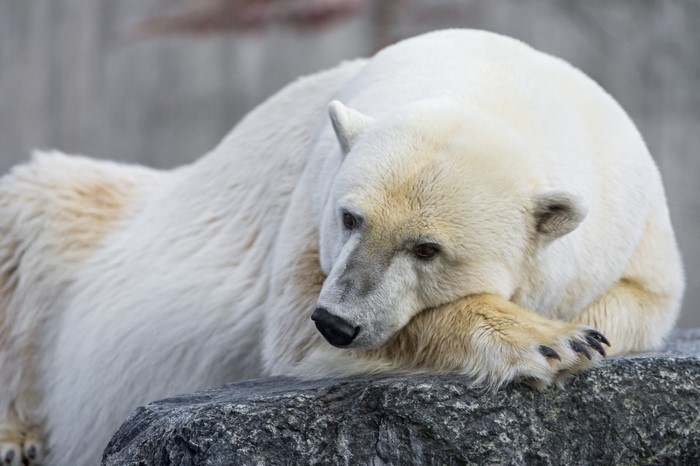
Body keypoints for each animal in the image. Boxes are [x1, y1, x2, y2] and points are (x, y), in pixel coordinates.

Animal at [0, 29, 684, 465]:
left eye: (427, 249)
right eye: (350, 217)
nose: (338, 322)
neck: (497, 80)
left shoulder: (632, 217)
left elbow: (638, 298)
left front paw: (578, 333)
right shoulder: (309, 203)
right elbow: (294, 330)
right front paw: (546, 341)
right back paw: (17, 436)